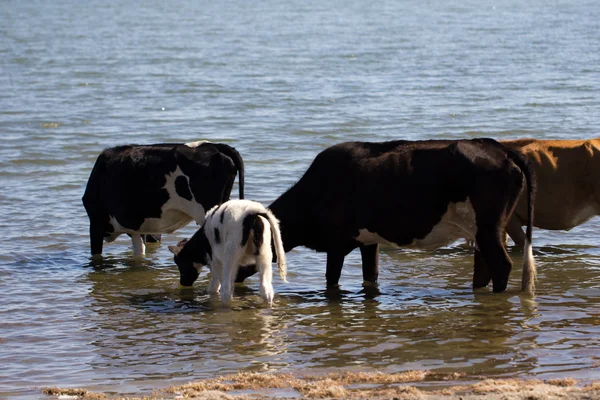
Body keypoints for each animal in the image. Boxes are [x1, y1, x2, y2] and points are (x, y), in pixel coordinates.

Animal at [239, 140, 540, 294]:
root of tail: (499, 148)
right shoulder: (368, 242)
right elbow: (370, 275)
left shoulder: (336, 244)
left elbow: (331, 280)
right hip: (484, 229)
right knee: (484, 266)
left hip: (488, 226)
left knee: (501, 265)